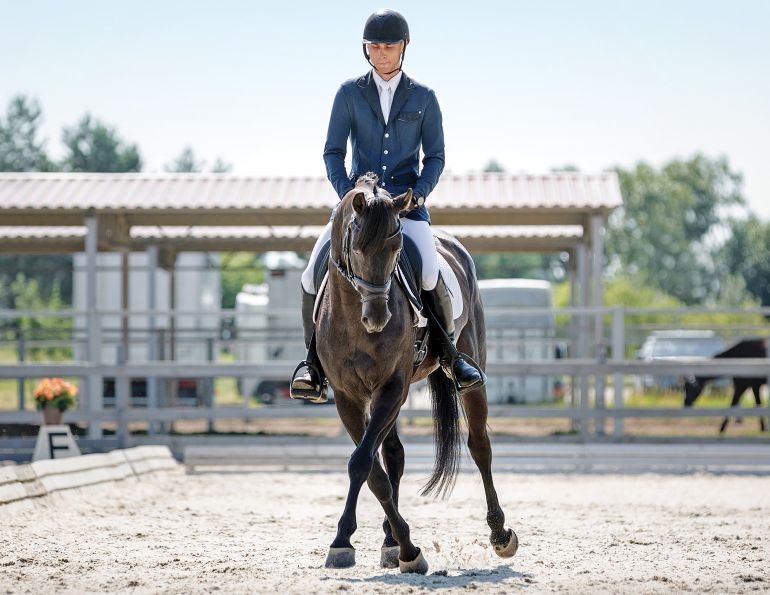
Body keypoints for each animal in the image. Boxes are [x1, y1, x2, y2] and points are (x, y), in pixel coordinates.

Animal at [314, 174, 518, 574]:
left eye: (396, 250)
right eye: (356, 248)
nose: (377, 318)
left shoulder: (394, 386)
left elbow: (362, 462)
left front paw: (407, 548)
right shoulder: (348, 397)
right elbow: (371, 468)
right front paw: (348, 541)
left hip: (470, 369)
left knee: (480, 447)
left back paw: (500, 534)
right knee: (393, 454)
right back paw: (389, 541)